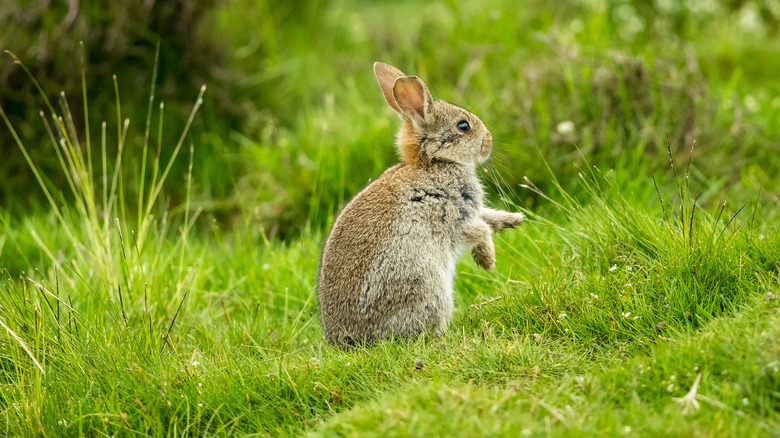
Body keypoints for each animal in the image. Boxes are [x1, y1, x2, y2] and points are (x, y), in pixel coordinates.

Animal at [316, 61, 524, 348]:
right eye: (463, 126)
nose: (489, 142)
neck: (434, 163)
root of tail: (349, 340)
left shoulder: (471, 211)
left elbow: (487, 217)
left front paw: (514, 220)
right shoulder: (452, 216)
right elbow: (479, 230)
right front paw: (487, 260)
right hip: (425, 284)